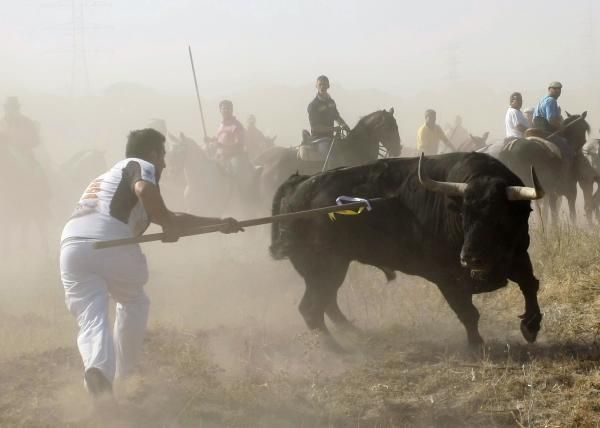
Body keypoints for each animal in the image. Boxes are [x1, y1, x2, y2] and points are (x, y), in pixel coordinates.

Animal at [270, 152, 544, 350]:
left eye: (499, 217)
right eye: (464, 214)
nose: (470, 258)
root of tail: (298, 186)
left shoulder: (519, 257)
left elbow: (530, 285)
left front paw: (530, 326)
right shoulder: (445, 278)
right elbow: (467, 312)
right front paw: (476, 344)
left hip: (331, 269)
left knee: (326, 303)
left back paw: (353, 334)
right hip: (324, 268)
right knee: (311, 308)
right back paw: (336, 349)